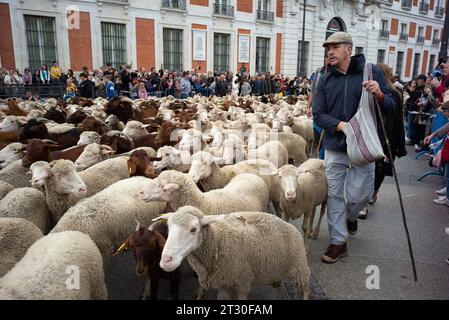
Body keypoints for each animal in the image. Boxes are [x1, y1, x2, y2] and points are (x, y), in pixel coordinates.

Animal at [153, 208, 308, 300]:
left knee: (305, 290)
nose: (166, 260)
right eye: (168, 227)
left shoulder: (243, 282)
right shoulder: (222, 282)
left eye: (193, 229)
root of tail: (288, 224)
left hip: (300, 268)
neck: (218, 242)